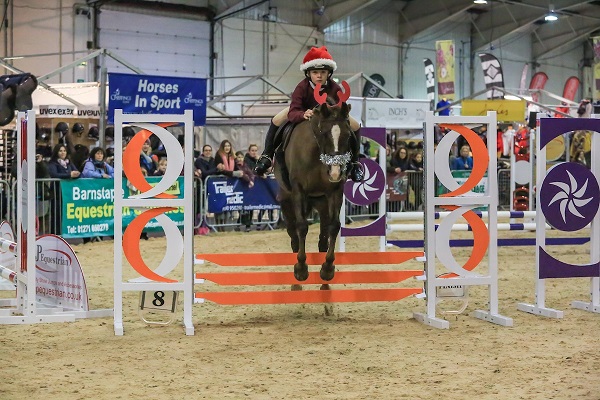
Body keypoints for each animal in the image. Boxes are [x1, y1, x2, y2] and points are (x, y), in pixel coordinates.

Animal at [274, 82, 354, 282]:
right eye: (323, 133)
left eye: (349, 135)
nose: (335, 172)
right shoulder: (298, 190)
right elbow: (302, 226)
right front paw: (301, 268)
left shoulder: (335, 191)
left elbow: (334, 226)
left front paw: (327, 268)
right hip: (286, 197)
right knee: (292, 228)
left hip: (322, 201)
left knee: (324, 228)